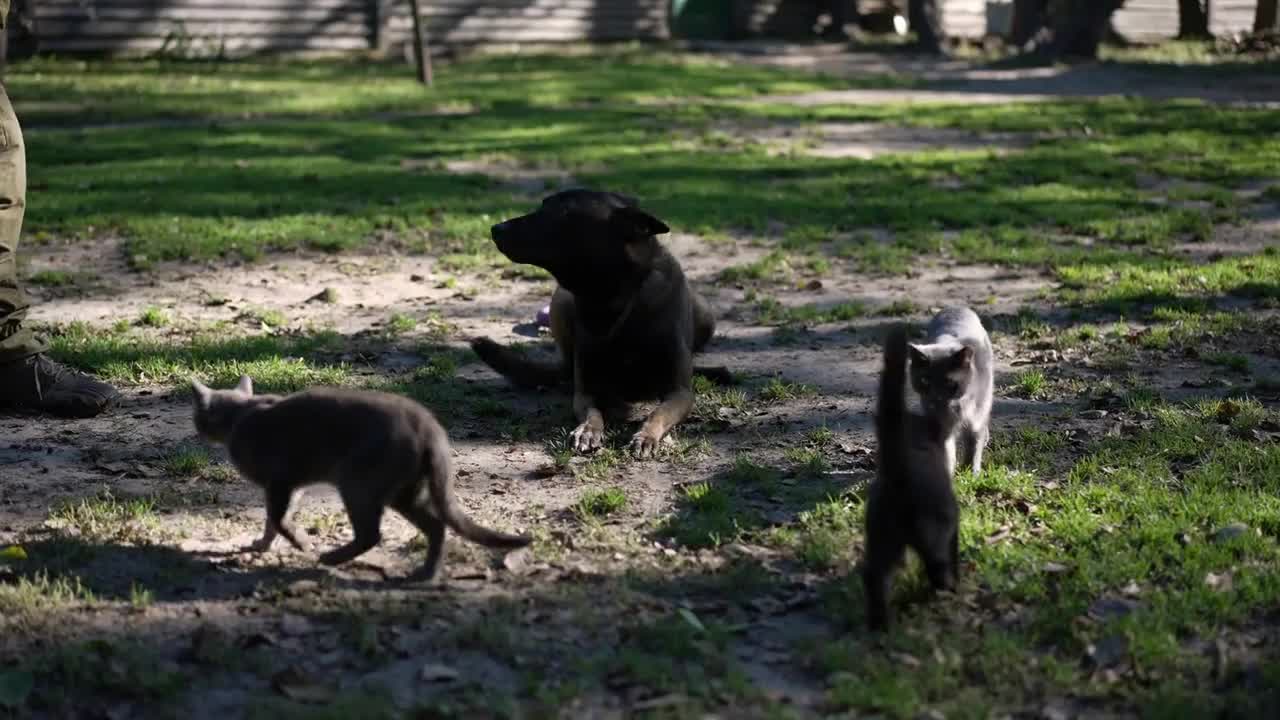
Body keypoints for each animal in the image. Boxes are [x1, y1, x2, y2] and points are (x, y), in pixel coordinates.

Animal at [473, 184, 727, 453]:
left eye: (561, 214)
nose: (495, 228)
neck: (612, 298)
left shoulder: (679, 392)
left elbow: (658, 413)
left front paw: (646, 435)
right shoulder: (586, 390)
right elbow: (592, 412)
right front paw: (587, 430)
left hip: (706, 315)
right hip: (560, 302)